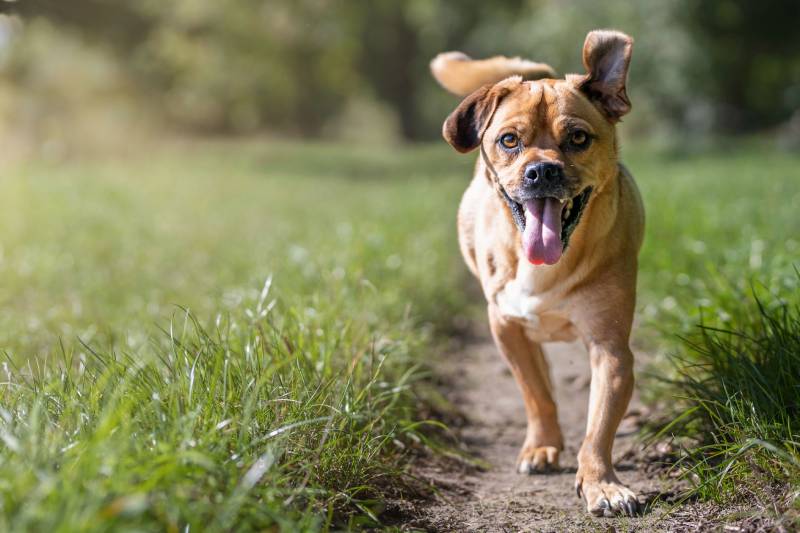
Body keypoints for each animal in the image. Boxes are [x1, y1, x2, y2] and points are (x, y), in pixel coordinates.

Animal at [432, 30, 644, 516]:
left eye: (579, 138)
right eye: (509, 140)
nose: (543, 169)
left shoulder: (610, 349)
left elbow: (599, 426)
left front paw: (602, 483)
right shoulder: (506, 327)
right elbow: (536, 394)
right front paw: (543, 446)